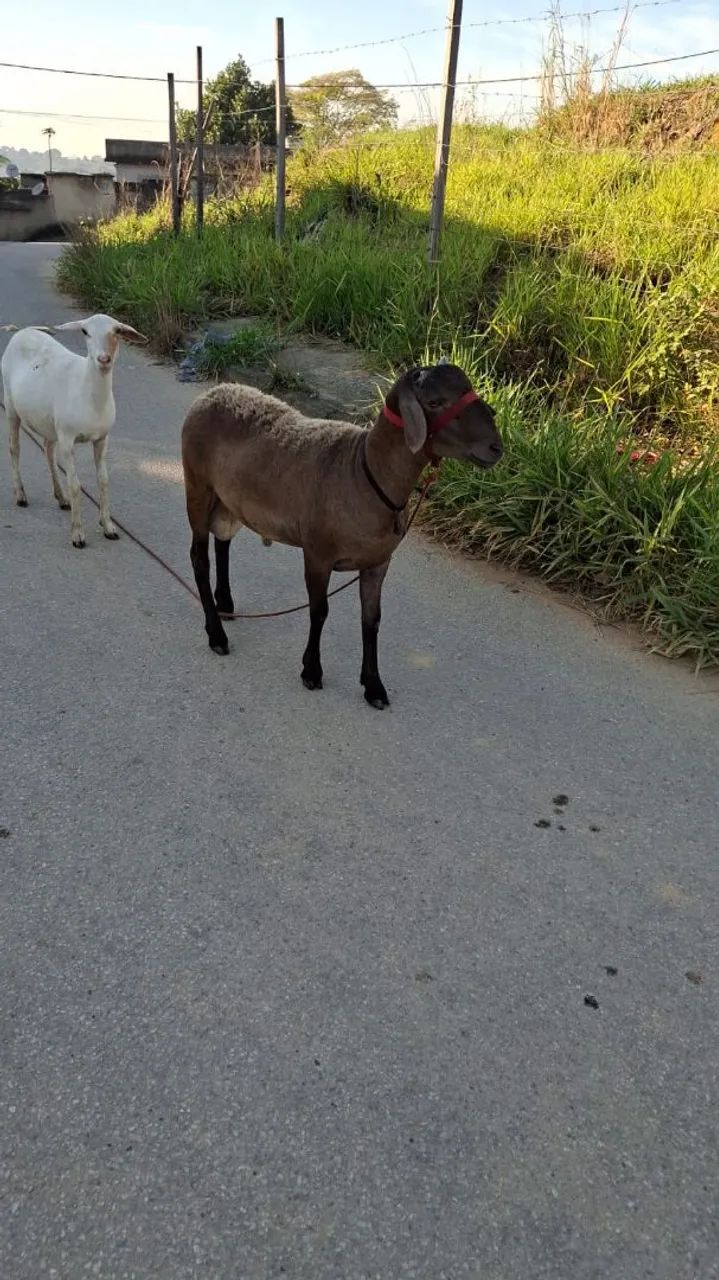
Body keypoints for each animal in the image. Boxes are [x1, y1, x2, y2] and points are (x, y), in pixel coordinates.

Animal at [1, 314, 145, 547]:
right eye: (85, 332)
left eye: (117, 331)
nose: (103, 359)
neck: (89, 395)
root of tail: (24, 331)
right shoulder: (68, 439)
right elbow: (76, 485)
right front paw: (77, 535)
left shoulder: (102, 438)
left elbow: (103, 481)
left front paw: (108, 527)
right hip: (11, 406)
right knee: (14, 448)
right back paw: (21, 495)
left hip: (50, 424)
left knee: (48, 450)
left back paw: (61, 498)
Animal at [181, 361, 503, 708]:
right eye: (434, 402)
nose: (496, 447)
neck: (365, 472)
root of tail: (214, 392)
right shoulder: (317, 554)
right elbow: (319, 611)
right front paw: (311, 671)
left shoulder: (378, 563)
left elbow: (372, 620)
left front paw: (373, 686)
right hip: (197, 486)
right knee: (199, 558)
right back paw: (216, 634)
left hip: (228, 498)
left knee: (223, 540)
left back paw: (225, 604)